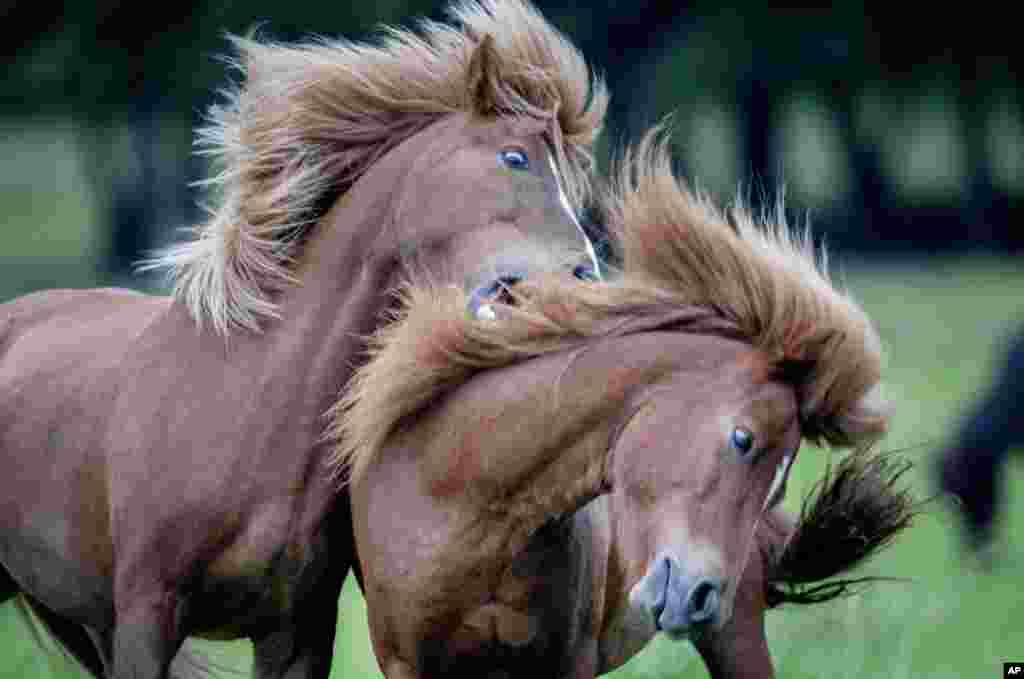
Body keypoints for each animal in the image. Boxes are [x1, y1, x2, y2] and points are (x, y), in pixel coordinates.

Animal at [337, 130, 913, 675]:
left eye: (779, 487)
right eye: (743, 439)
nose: (700, 598)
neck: (460, 484)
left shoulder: (566, 662)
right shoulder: (409, 663)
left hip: (736, 634)